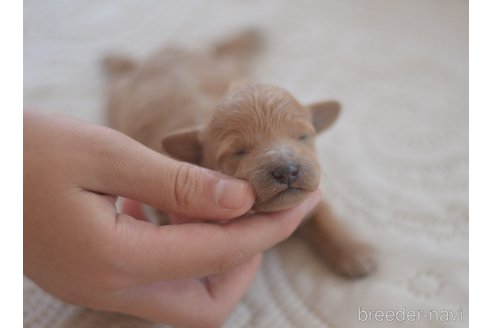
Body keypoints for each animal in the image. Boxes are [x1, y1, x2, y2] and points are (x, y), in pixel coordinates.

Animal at [102, 31, 374, 276]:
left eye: (303, 137)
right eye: (239, 152)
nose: (287, 171)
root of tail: (168, 50)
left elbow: (323, 215)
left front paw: (352, 249)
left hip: (227, 63)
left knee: (225, 48)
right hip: (119, 94)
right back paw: (114, 59)